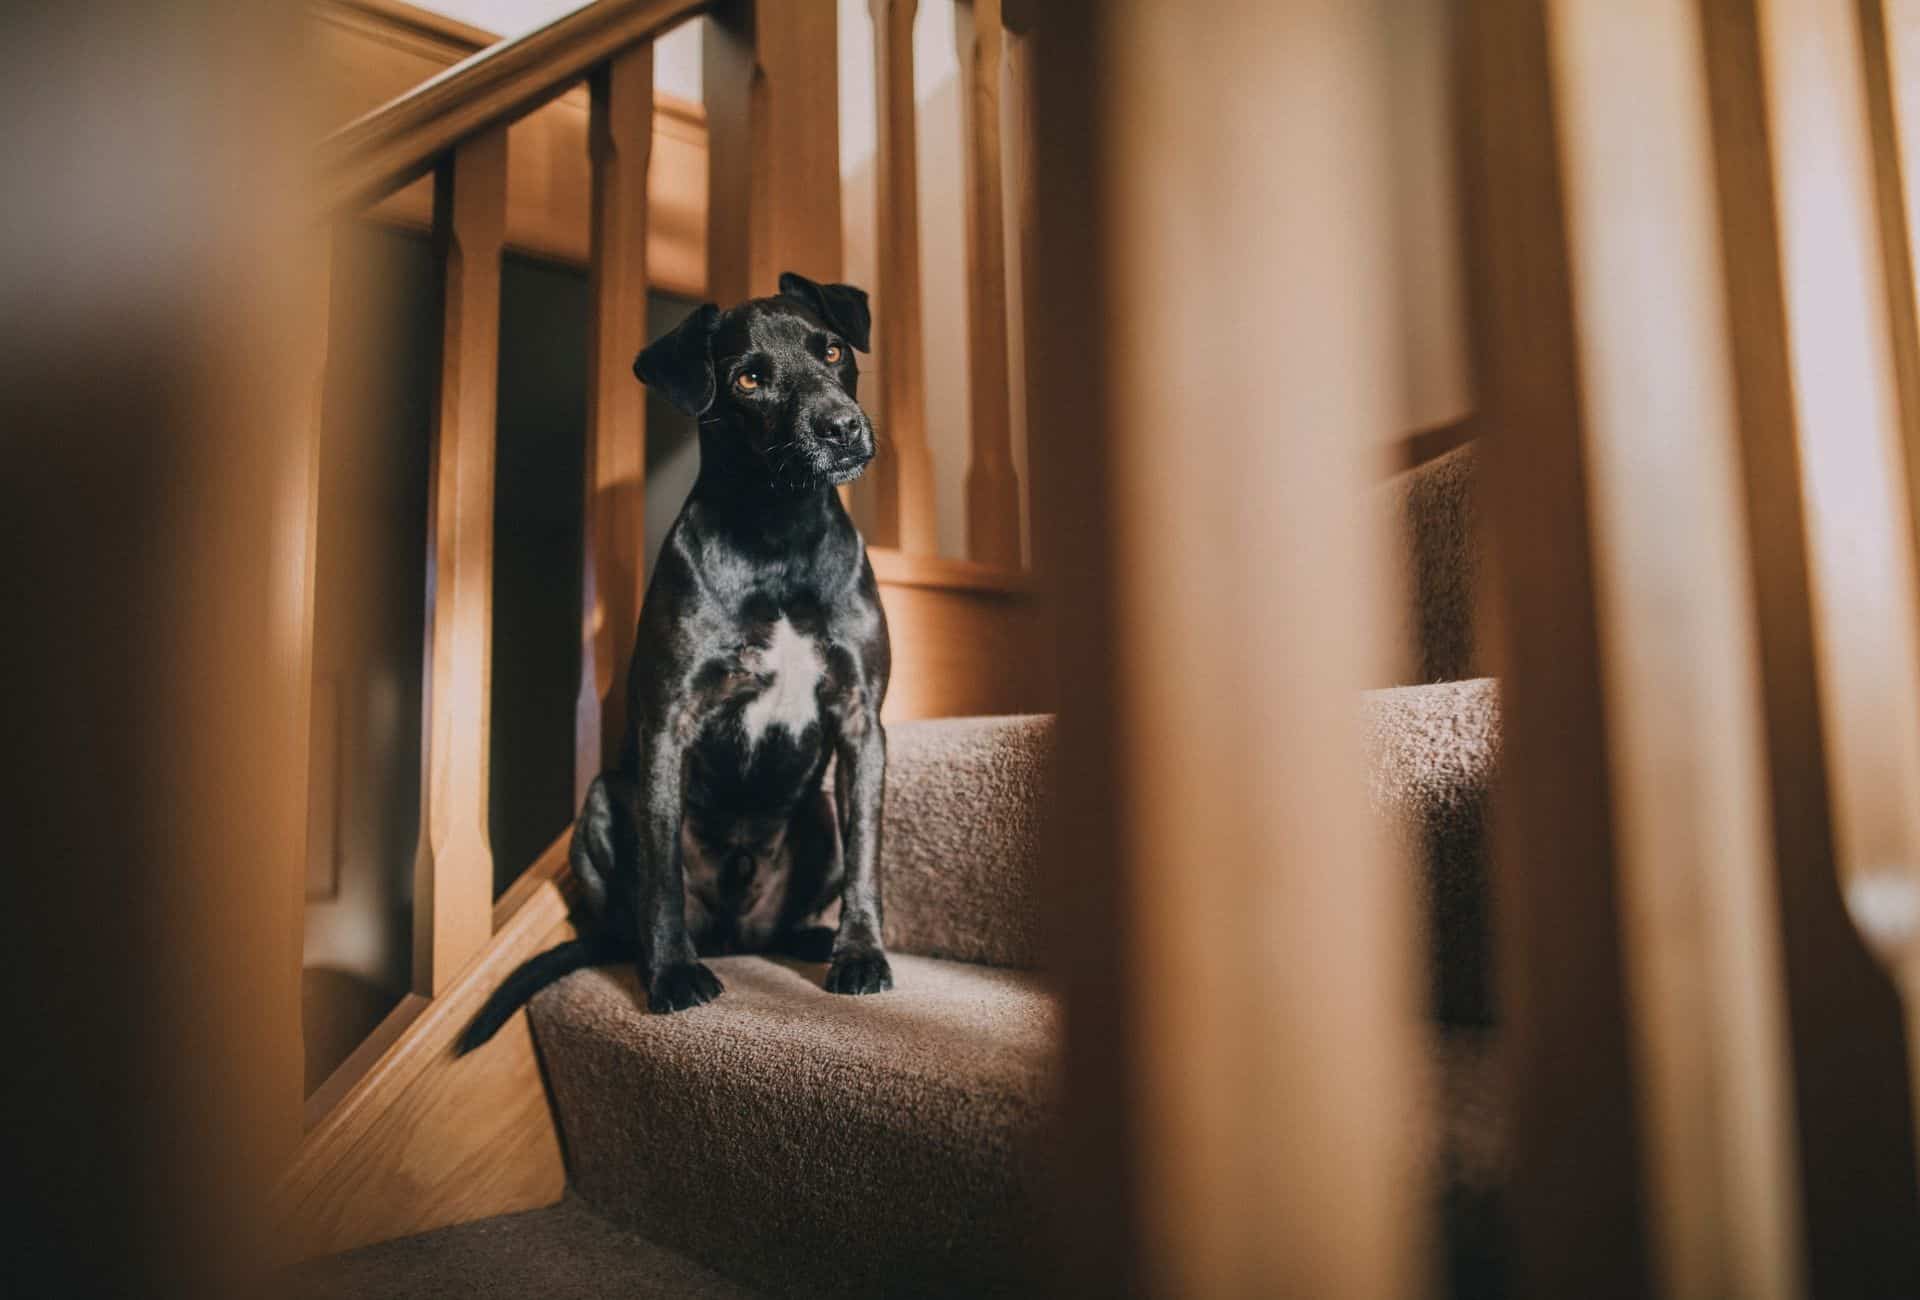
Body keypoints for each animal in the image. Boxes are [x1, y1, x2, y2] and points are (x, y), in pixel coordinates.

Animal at [456, 268, 890, 1052]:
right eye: (749, 378)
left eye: (834, 350)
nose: (840, 427)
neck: (779, 538)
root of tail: (734, 934)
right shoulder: (668, 724)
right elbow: (660, 877)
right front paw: (672, 979)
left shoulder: (861, 720)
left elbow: (869, 855)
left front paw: (861, 955)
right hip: (602, 802)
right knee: (636, 917)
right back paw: (659, 956)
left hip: (819, 816)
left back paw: (813, 941)